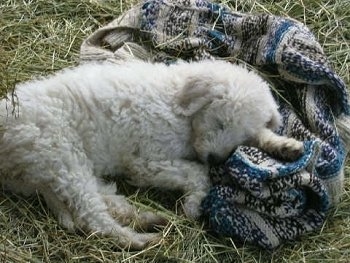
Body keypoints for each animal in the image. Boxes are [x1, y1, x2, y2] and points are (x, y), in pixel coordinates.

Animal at [0, 60, 302, 251]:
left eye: (241, 138)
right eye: (220, 123)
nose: (216, 159)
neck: (178, 105)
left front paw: (285, 145)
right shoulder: (145, 162)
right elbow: (197, 172)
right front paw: (193, 204)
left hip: (63, 166)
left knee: (103, 200)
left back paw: (148, 218)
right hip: (61, 155)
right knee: (93, 219)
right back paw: (140, 240)